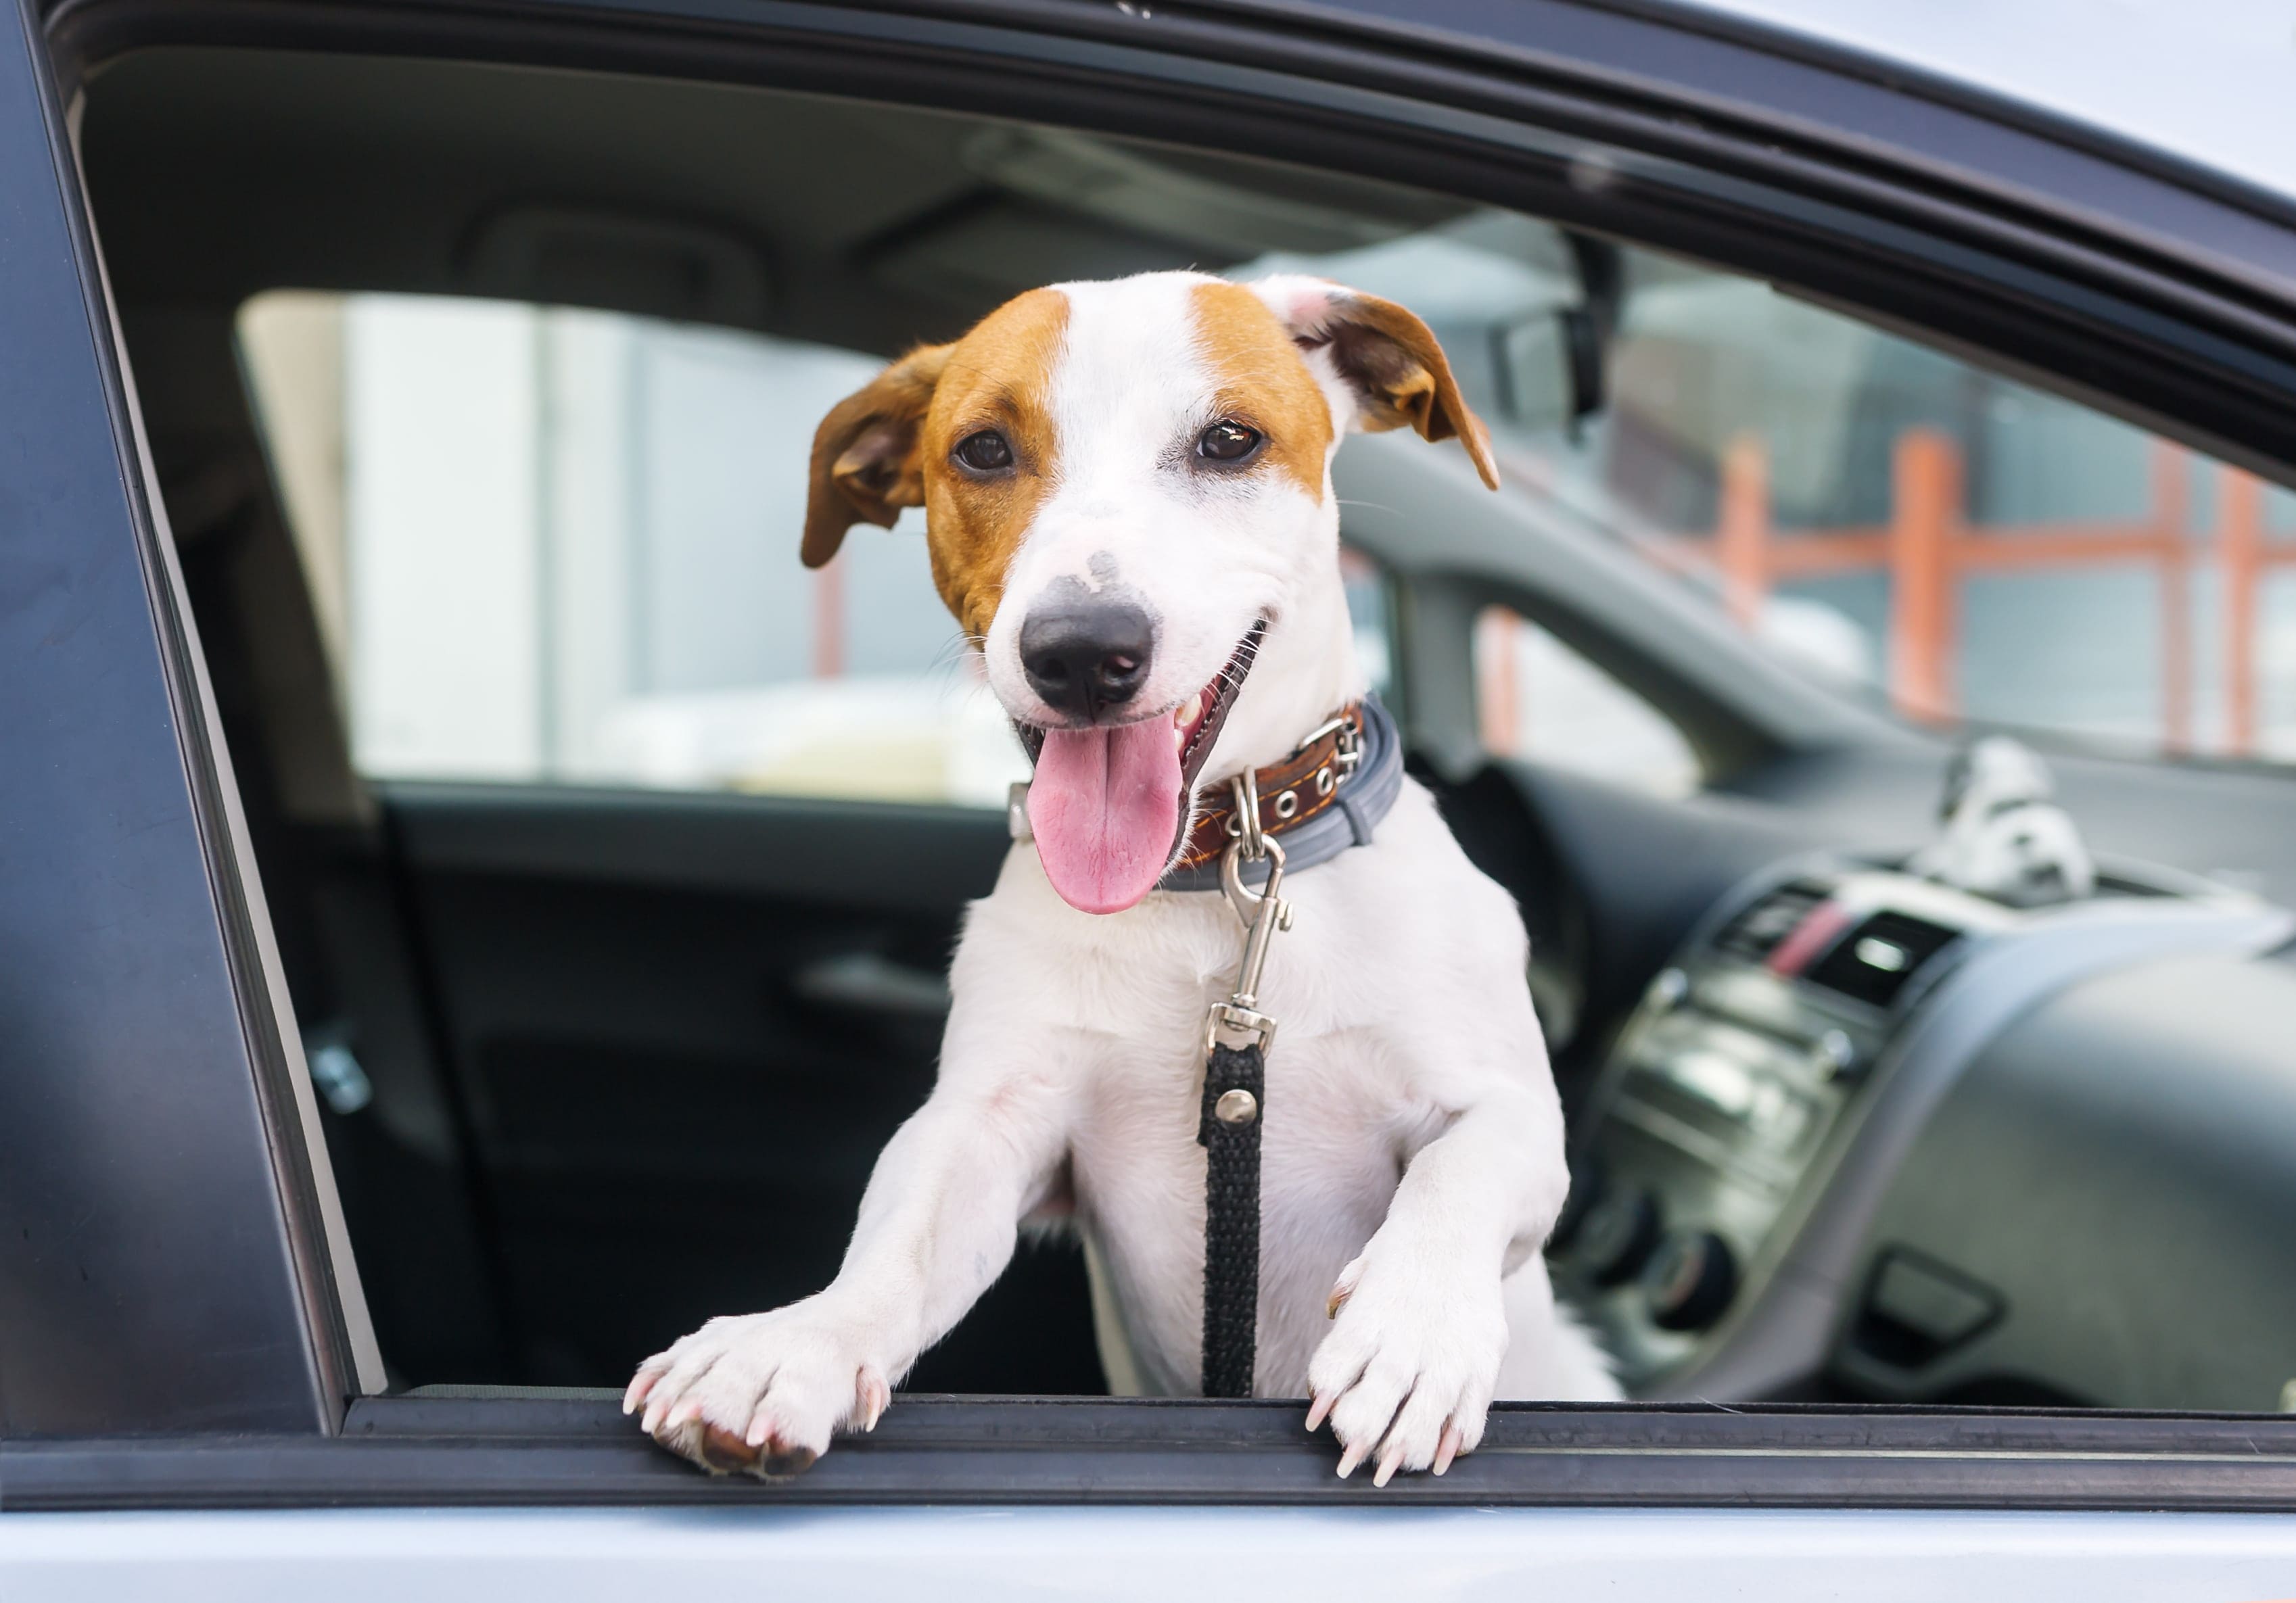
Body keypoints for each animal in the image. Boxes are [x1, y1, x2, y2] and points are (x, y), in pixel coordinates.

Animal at [624, 268, 1616, 1479]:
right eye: (983, 450)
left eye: (1229, 440)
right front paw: (794, 1342)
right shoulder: (992, 1123)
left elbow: (1464, 1168)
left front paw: (1410, 1331)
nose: (1083, 651)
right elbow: (897, 1239)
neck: (1210, 879)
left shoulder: (1509, 1114)